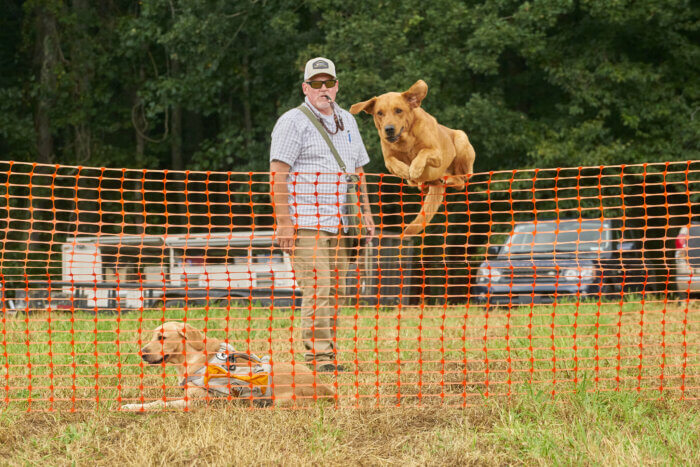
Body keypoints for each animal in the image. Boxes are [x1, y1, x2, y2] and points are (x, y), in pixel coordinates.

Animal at [120, 324, 334, 412]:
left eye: (162, 337)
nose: (142, 353)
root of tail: (326, 388)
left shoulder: (197, 401)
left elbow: (160, 403)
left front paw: (132, 406)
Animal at [350, 79, 476, 238]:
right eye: (379, 113)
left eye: (398, 110)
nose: (389, 129)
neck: (405, 140)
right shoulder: (388, 158)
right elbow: (392, 162)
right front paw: (404, 170)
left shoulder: (437, 154)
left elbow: (422, 152)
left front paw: (415, 169)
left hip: (461, 139)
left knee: (463, 180)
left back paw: (448, 179)